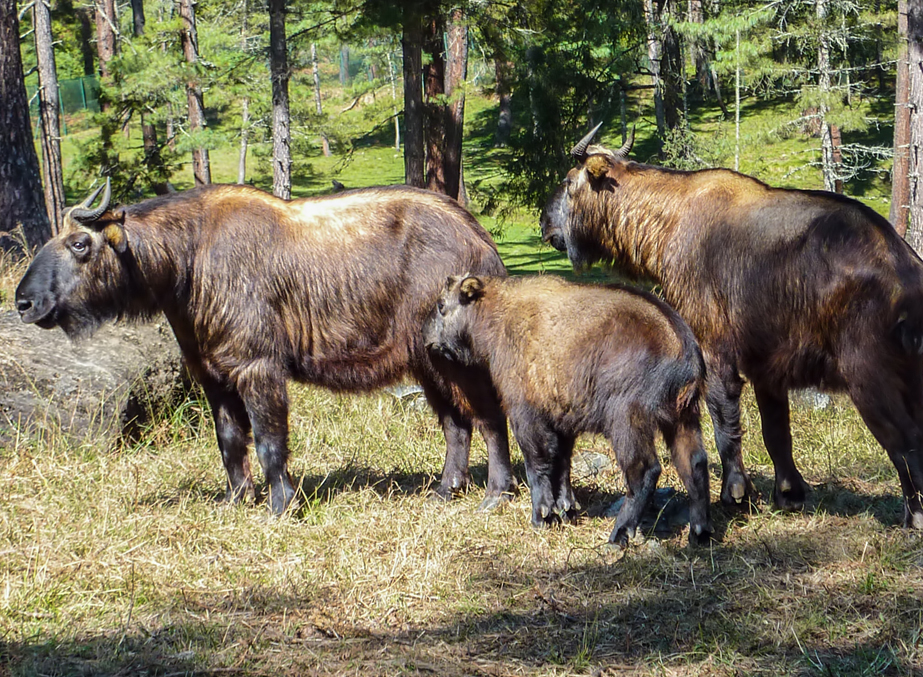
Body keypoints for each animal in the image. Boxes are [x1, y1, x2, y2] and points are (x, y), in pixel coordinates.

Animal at [426, 274, 716, 544]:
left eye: (441, 305)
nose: (427, 338)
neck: (499, 315)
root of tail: (686, 350)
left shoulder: (526, 415)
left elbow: (538, 464)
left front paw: (542, 516)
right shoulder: (563, 420)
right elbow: (562, 464)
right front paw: (566, 509)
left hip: (627, 421)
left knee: (645, 471)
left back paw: (619, 534)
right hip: (682, 420)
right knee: (695, 464)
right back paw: (699, 531)